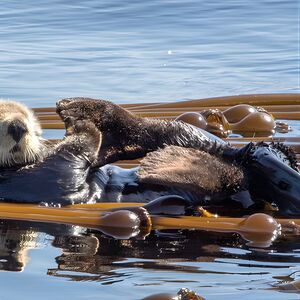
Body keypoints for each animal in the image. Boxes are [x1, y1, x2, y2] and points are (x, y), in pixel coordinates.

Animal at [0, 98, 300, 216]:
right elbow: (77, 153)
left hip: (193, 139)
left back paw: (81, 109)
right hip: (257, 169)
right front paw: (83, 128)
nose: (18, 126)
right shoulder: (47, 179)